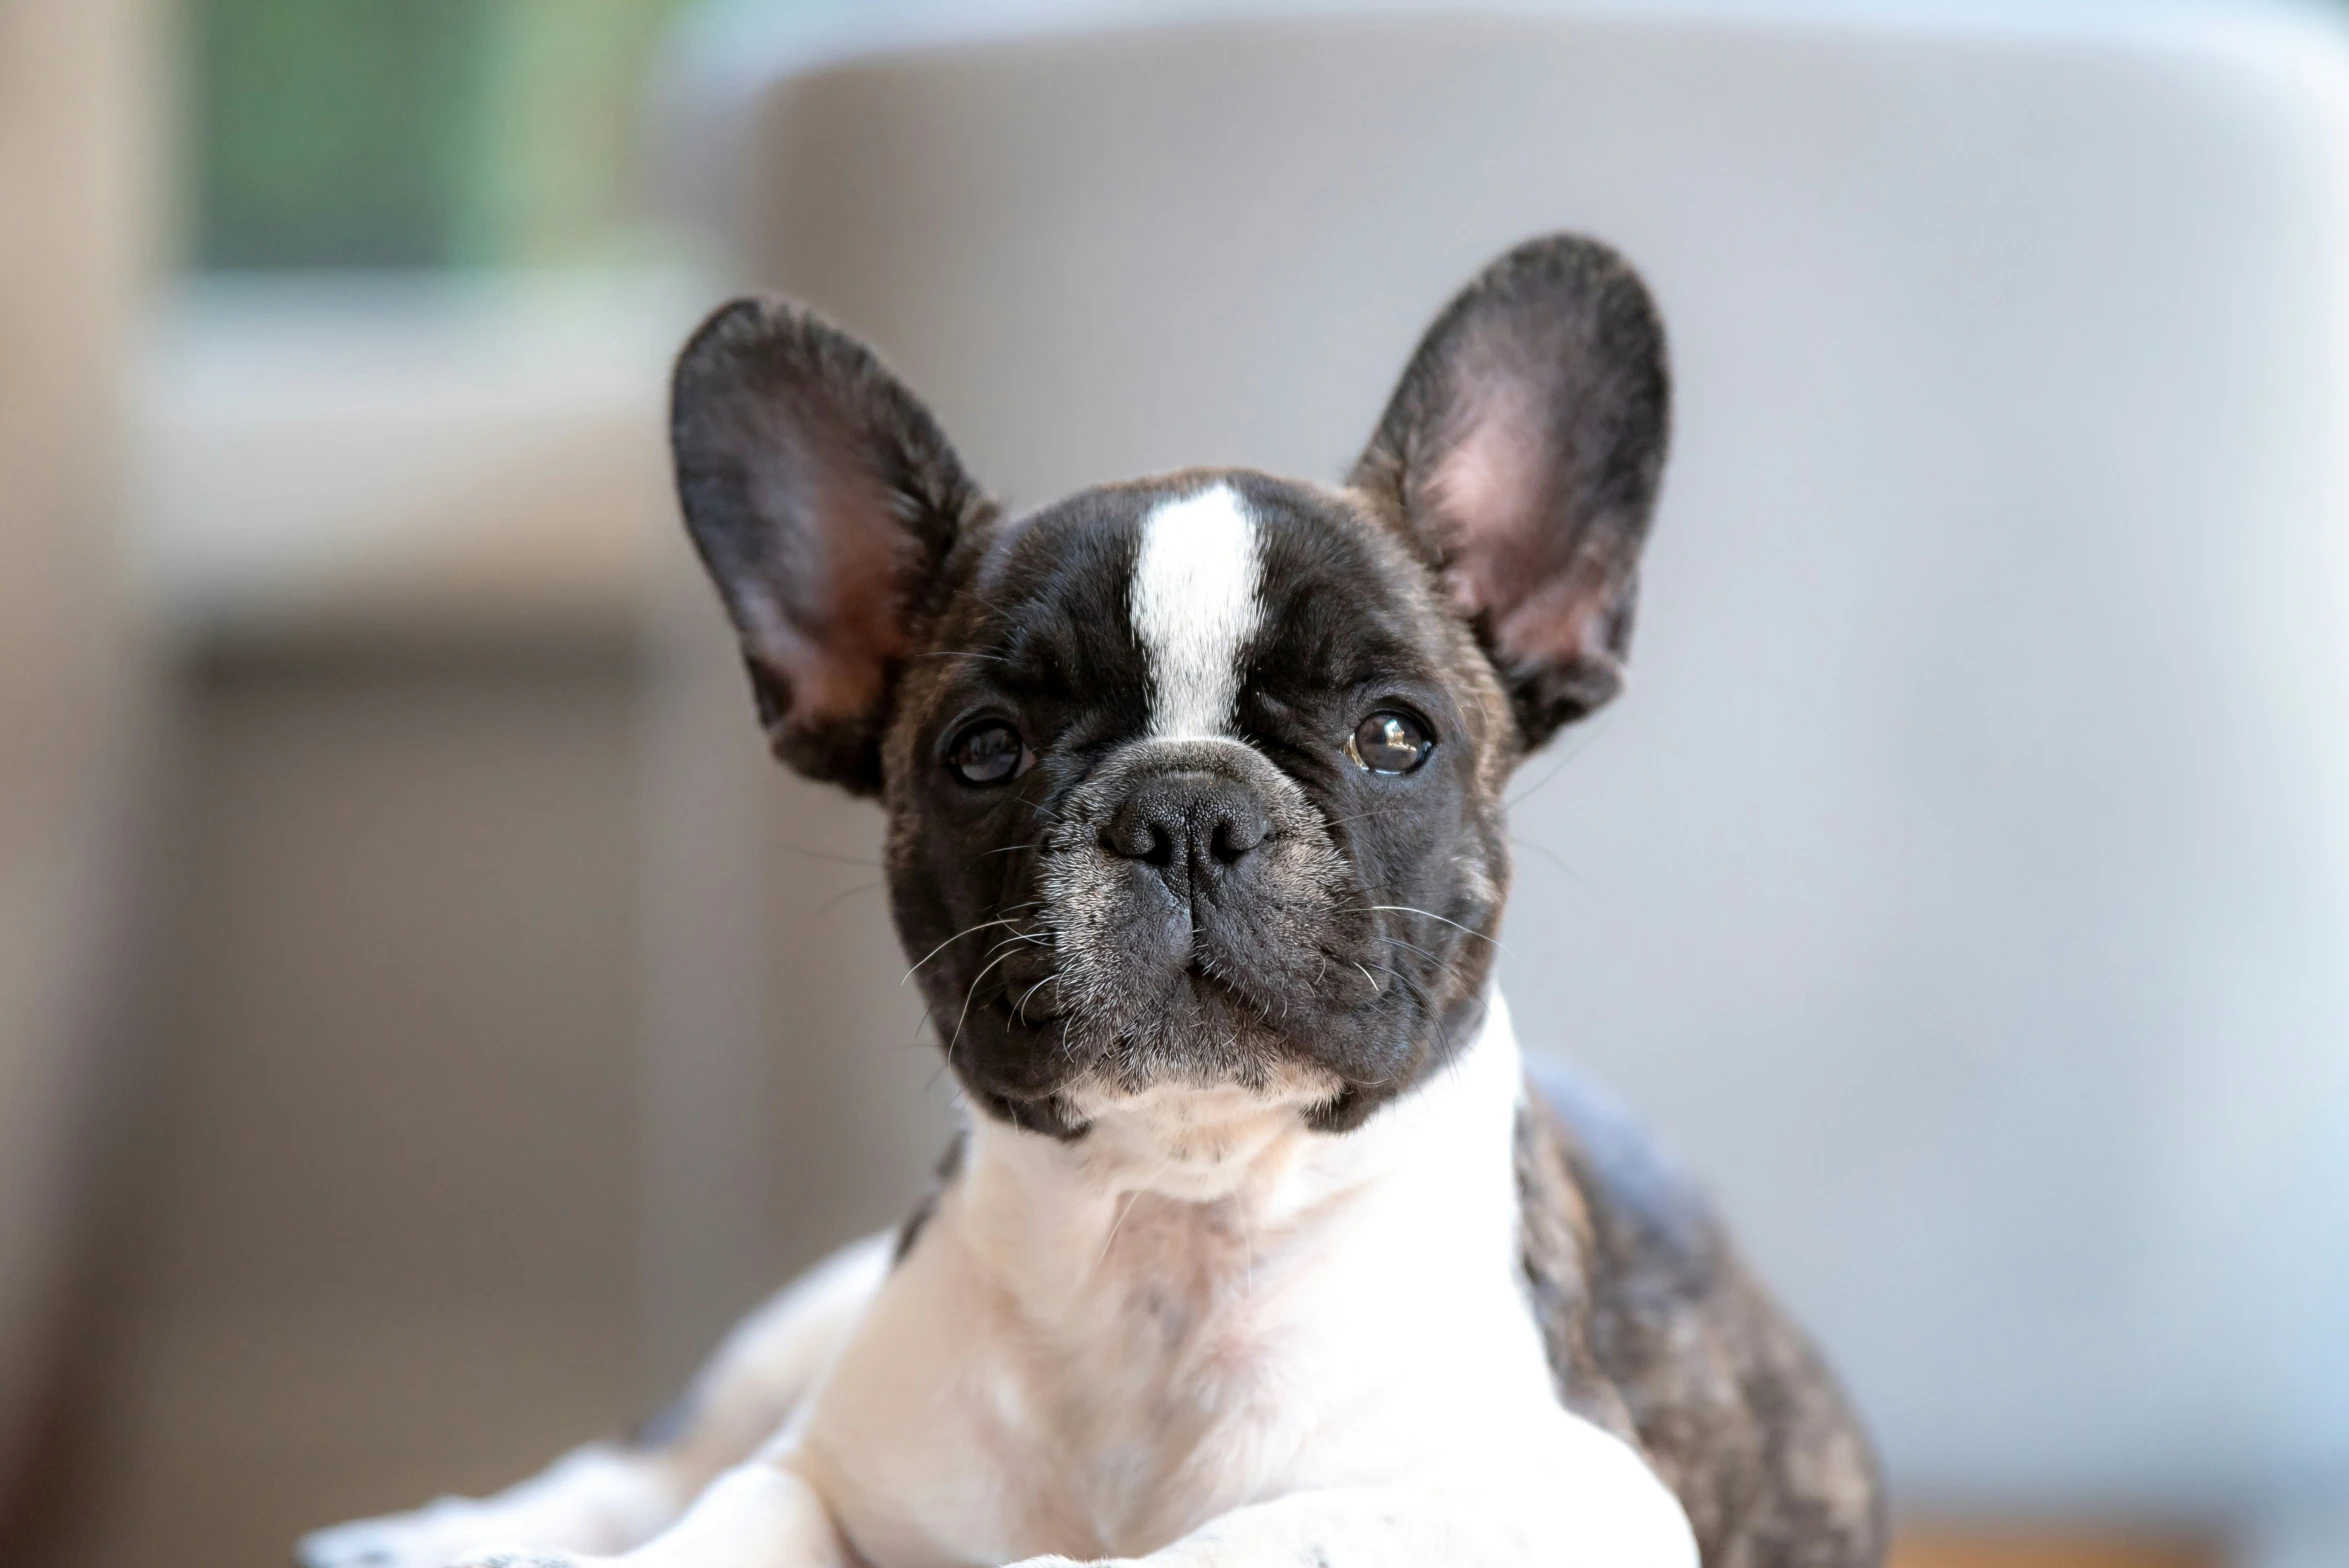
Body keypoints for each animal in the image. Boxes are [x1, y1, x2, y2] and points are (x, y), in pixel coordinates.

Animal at [303, 239, 1888, 1568]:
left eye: (1393, 735)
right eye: (985, 751)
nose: (1183, 809)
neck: (1166, 1238)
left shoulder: (1557, 1496)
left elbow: (1246, 1541)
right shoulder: (833, 1460)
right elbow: (738, 1509)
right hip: (796, 1321)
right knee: (647, 1464)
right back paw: (446, 1539)